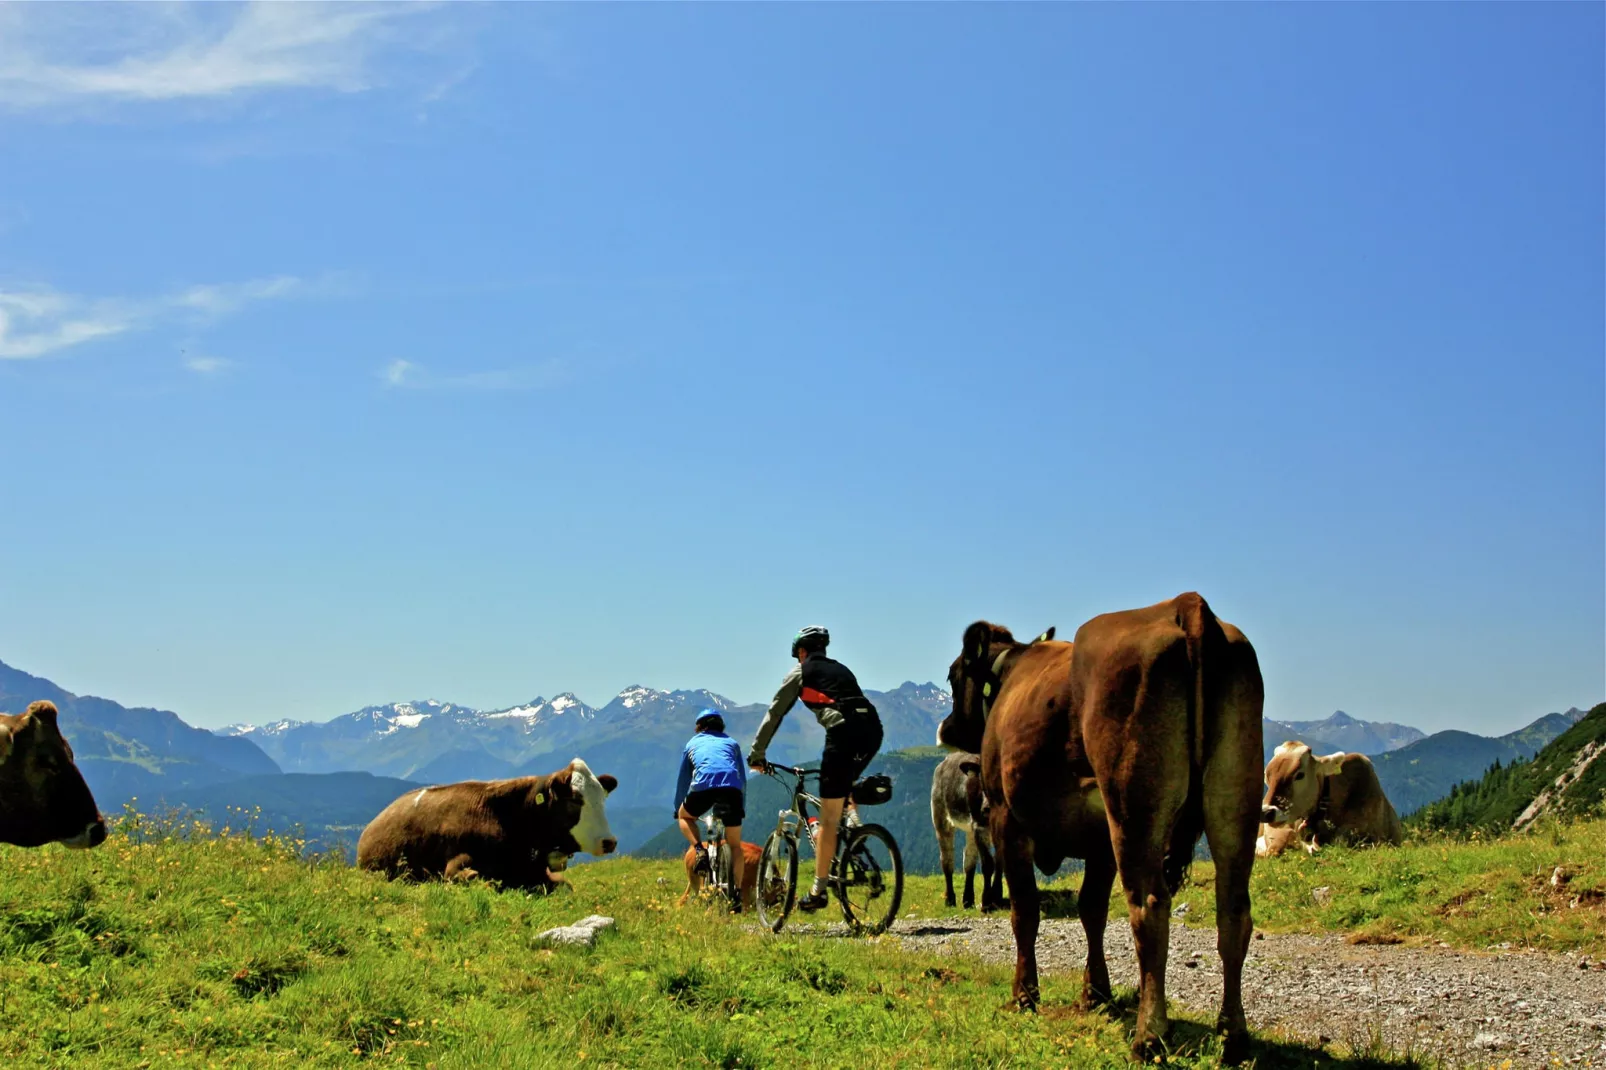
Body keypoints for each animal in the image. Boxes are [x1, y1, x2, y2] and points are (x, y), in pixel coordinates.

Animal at [354, 755, 616, 886]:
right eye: (575, 800)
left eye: (602, 798)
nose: (609, 842)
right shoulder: (455, 860)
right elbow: (470, 876)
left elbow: (564, 884)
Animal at [931, 748, 1002, 906]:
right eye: (981, 781)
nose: (987, 808)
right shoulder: (980, 826)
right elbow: (988, 864)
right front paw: (987, 901)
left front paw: (997, 897)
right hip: (941, 818)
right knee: (947, 859)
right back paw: (950, 899)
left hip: (970, 830)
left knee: (969, 860)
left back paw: (968, 900)